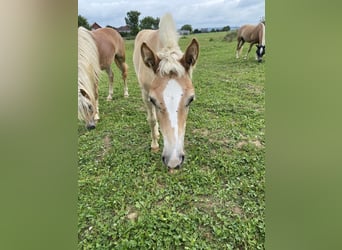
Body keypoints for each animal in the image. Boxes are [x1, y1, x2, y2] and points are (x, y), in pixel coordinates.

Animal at [132, 13, 199, 170]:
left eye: (191, 99)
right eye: (153, 99)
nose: (173, 161)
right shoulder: (145, 94)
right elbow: (151, 119)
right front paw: (154, 145)